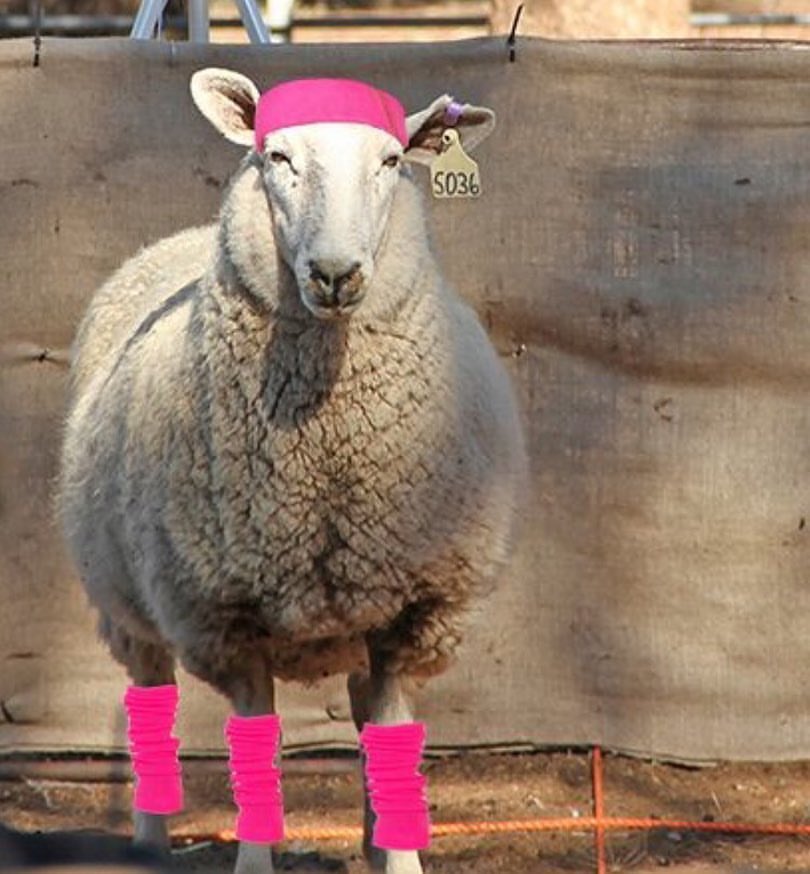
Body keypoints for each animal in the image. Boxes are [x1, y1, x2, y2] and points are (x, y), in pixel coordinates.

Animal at [58, 68, 527, 874]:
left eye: (391, 161)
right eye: (275, 156)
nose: (335, 274)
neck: (326, 450)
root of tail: (175, 239)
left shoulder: (410, 611)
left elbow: (390, 741)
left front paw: (398, 857)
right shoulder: (226, 616)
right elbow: (256, 749)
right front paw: (256, 857)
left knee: (366, 726)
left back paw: (372, 839)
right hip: (129, 601)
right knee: (150, 700)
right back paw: (150, 839)